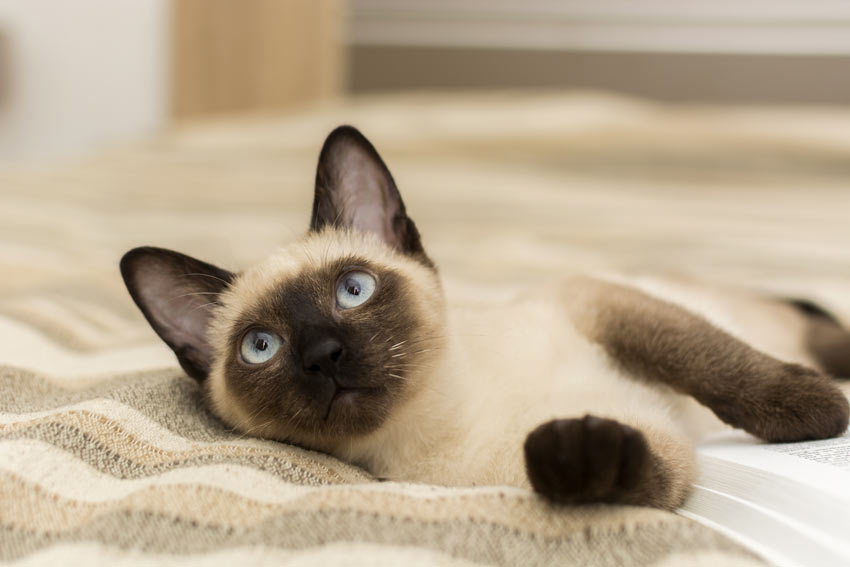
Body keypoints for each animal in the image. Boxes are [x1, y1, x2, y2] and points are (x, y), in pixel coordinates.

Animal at [122, 125, 848, 510]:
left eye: (354, 290)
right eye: (262, 346)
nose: (324, 355)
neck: (448, 410)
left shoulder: (602, 303)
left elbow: (718, 364)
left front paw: (818, 415)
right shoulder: (659, 451)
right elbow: (626, 472)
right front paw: (574, 451)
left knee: (813, 327)